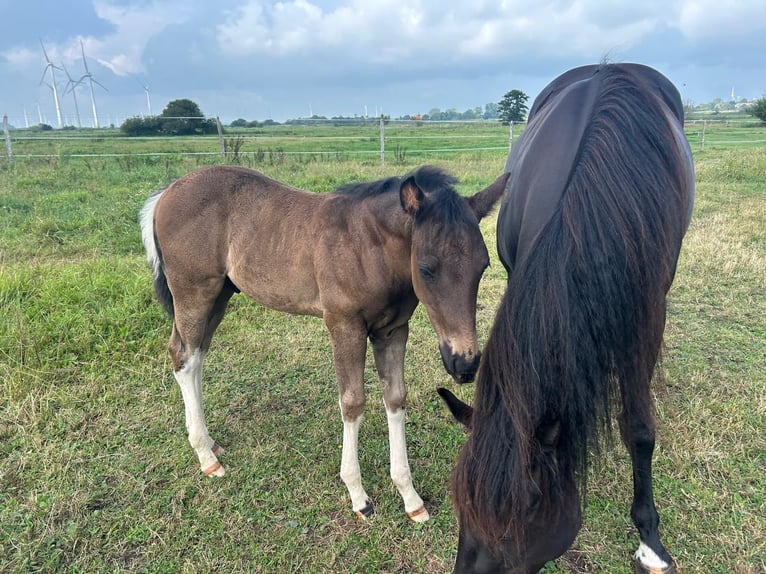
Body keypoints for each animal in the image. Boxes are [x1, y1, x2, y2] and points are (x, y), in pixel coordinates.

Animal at [139, 164, 510, 522]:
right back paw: (206, 456)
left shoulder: (393, 330)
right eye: (426, 268)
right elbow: (353, 402)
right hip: (194, 292)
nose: (464, 363)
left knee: (196, 357)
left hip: (221, 294)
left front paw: (411, 499)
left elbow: (395, 398)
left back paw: (211, 444)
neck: (369, 248)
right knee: (183, 357)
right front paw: (359, 497)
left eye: (483, 266)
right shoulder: (343, 325)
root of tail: (166, 193)